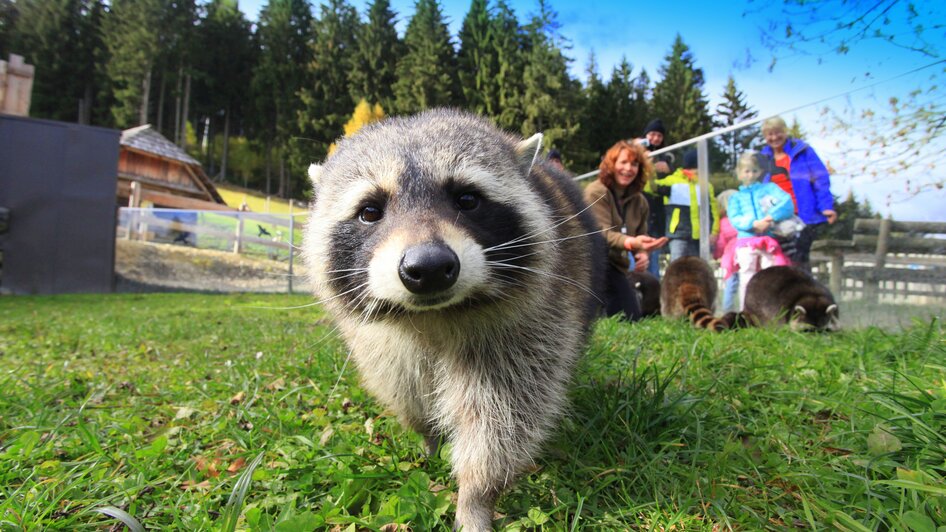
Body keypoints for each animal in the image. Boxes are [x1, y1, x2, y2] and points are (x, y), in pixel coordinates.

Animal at [302, 108, 604, 532]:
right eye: (369, 211)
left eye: (467, 199)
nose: (428, 267)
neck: (433, 316)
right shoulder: (380, 341)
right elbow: (403, 386)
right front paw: (427, 436)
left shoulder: (531, 327)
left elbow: (504, 416)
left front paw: (476, 494)